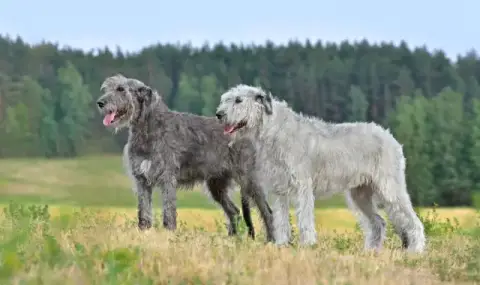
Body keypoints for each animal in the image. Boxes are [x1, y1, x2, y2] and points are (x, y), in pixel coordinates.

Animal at [95, 75, 274, 240]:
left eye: (121, 89)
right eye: (108, 88)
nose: (100, 103)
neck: (149, 126)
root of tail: (247, 129)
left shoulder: (167, 178)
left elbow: (168, 211)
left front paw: (168, 234)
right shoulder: (142, 180)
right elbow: (143, 211)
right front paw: (144, 233)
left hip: (249, 179)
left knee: (267, 211)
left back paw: (272, 240)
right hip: (216, 184)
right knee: (234, 211)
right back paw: (232, 239)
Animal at [216, 83, 426, 252]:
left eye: (238, 100)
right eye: (225, 99)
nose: (219, 114)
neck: (274, 131)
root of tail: (390, 137)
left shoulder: (302, 186)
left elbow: (304, 218)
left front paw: (307, 245)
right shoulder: (279, 189)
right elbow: (281, 220)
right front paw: (281, 245)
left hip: (390, 188)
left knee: (413, 221)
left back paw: (416, 251)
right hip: (360, 193)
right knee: (378, 223)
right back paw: (370, 252)